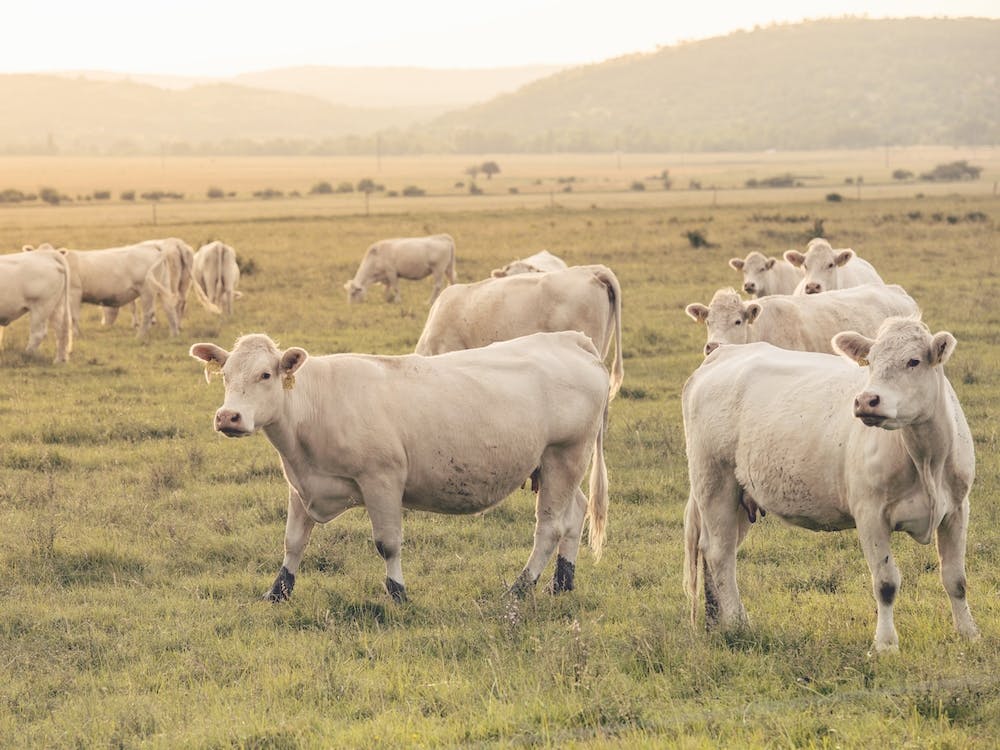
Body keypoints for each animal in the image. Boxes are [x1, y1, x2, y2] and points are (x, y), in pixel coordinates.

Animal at [190, 331, 610, 603]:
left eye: (265, 374)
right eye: (225, 375)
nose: (228, 417)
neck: (315, 404)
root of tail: (569, 339)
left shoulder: (382, 480)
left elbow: (387, 544)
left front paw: (398, 593)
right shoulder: (302, 485)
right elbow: (293, 542)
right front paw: (278, 591)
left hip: (564, 455)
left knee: (550, 527)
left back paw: (520, 588)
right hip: (557, 465)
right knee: (575, 514)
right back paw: (562, 582)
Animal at [682, 317, 979, 653]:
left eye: (913, 361)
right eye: (870, 362)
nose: (866, 400)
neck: (926, 459)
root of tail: (723, 354)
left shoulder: (957, 509)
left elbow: (955, 579)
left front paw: (968, 633)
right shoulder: (870, 514)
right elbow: (886, 583)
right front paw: (885, 645)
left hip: (740, 496)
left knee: (717, 551)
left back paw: (716, 621)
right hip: (714, 481)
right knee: (719, 553)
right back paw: (737, 624)